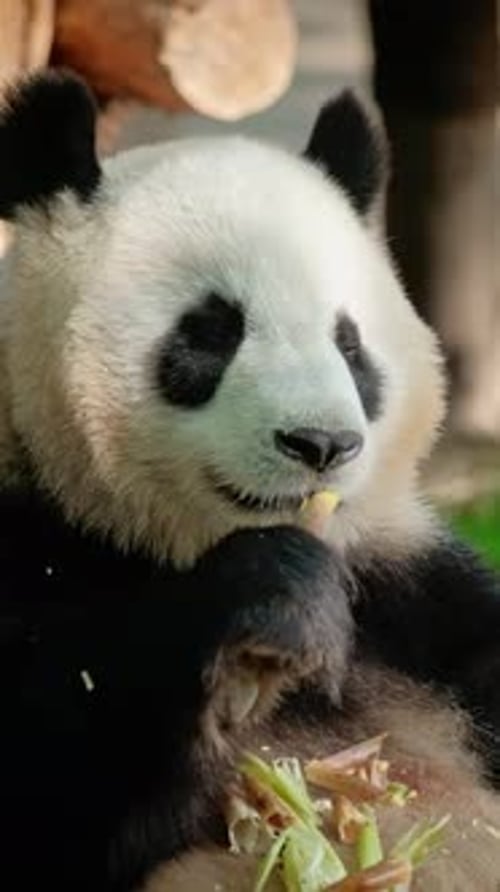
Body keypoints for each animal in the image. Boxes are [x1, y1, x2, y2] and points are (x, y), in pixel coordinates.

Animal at [0, 71, 499, 892]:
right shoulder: (31, 542)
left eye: (350, 344)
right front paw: (273, 603)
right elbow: (49, 781)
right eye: (211, 331)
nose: (321, 443)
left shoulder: (417, 595)